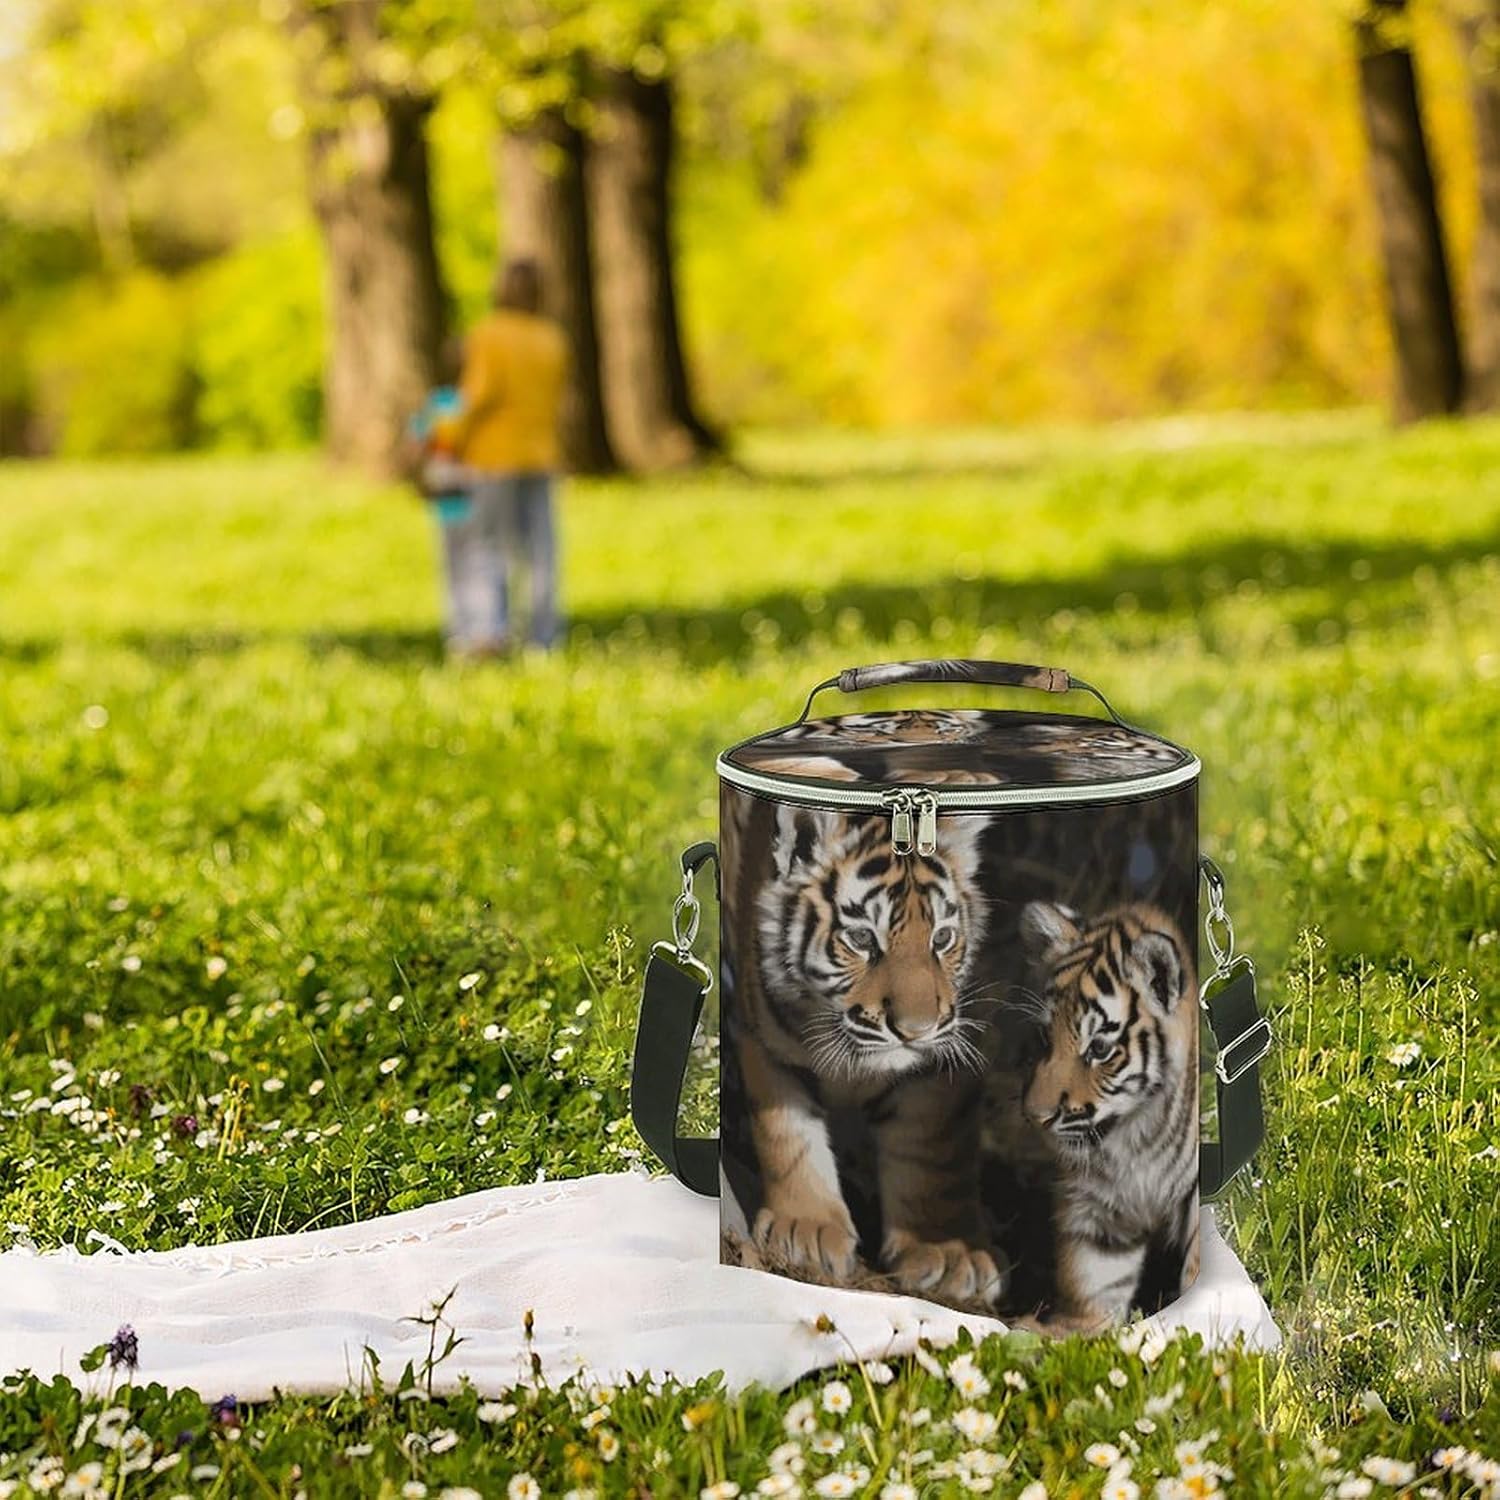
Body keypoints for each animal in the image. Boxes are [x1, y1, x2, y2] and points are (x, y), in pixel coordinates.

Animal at [723, 797, 1006, 1309]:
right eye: (860, 940)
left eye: (941, 939)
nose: (915, 1031)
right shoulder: (768, 1044)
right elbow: (789, 1136)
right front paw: (808, 1231)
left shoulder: (937, 1066)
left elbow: (930, 1153)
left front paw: (948, 1255)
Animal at [993, 900, 1200, 1332]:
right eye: (1045, 1038)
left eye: (1100, 1048)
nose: (1036, 1116)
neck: (1135, 1133)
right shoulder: (1103, 1203)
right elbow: (1094, 1277)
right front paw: (1073, 1332)